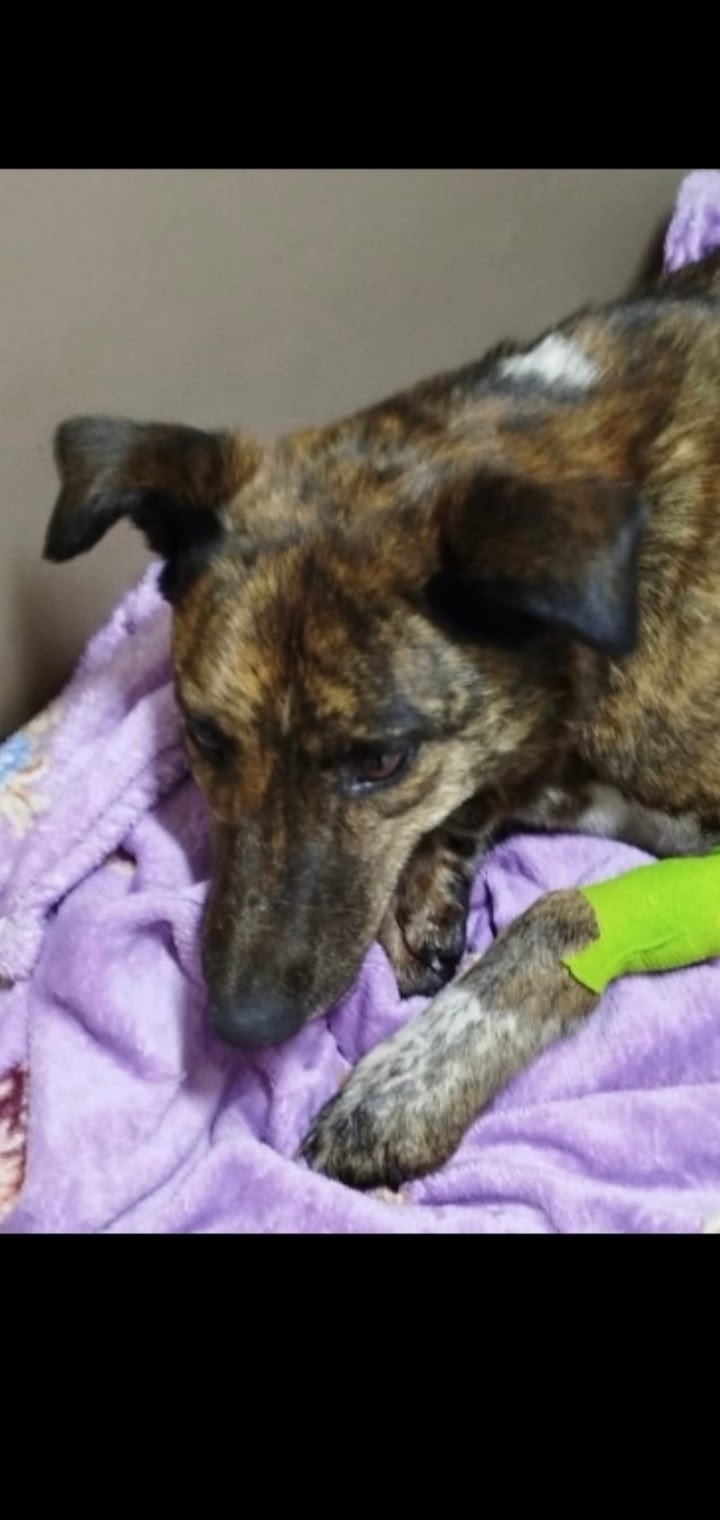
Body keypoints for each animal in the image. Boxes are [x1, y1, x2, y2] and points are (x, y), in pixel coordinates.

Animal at [43, 248, 720, 1191]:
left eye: (382, 761)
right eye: (207, 737)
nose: (243, 1027)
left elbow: (565, 912)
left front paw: (404, 1090)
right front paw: (425, 889)